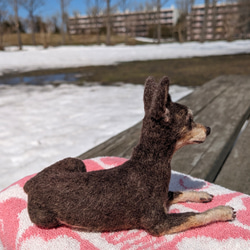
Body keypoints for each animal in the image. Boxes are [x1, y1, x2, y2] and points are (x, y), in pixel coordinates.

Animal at [22, 75, 235, 235]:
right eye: (190, 120)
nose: (209, 129)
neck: (150, 162)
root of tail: (30, 184)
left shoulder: (161, 200)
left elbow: (175, 192)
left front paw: (200, 195)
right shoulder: (157, 223)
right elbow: (195, 216)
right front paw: (223, 211)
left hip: (76, 163)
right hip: (46, 219)